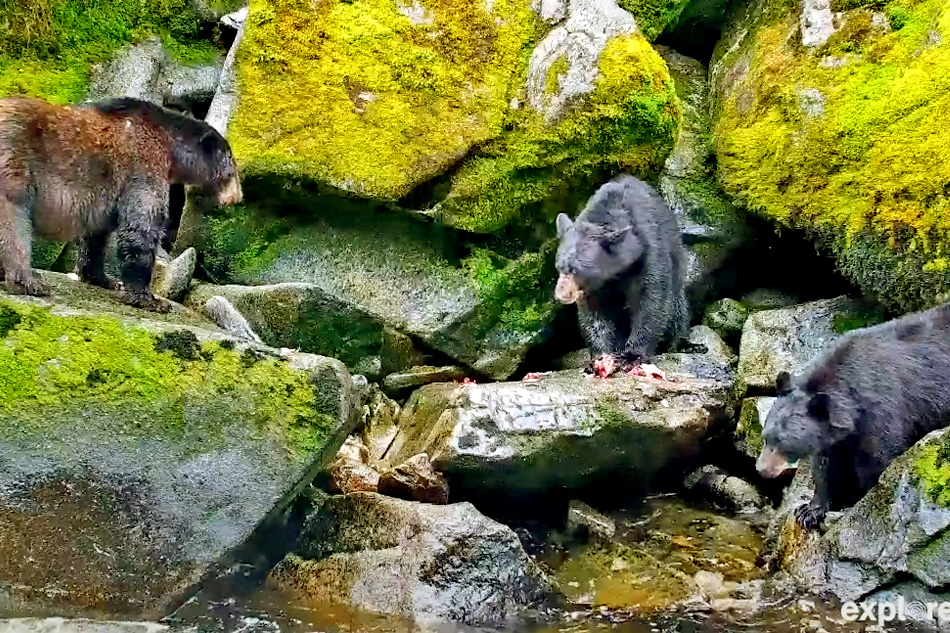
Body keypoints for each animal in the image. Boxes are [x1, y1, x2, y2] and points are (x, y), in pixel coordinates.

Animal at [0, 95, 244, 310]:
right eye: (231, 163)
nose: (238, 196)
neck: (170, 146)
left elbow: (96, 235)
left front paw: (104, 279)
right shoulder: (144, 163)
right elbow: (141, 226)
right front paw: (150, 299)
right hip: (15, 164)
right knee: (13, 221)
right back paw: (29, 282)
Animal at [556, 174, 688, 376]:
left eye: (575, 269)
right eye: (559, 266)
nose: (561, 295)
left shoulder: (649, 255)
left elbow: (651, 301)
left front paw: (632, 356)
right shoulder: (593, 288)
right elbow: (594, 315)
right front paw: (599, 358)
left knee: (676, 313)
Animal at [764, 304, 950, 532]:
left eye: (783, 442)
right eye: (766, 437)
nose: (762, 469)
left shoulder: (884, 412)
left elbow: (877, 459)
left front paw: (855, 501)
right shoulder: (833, 436)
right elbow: (825, 468)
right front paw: (809, 510)